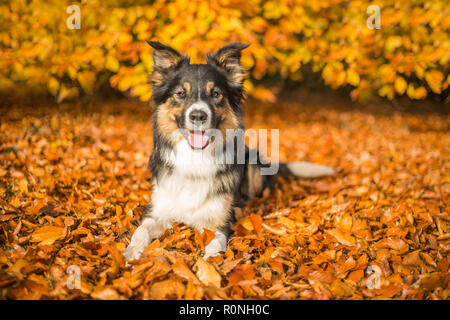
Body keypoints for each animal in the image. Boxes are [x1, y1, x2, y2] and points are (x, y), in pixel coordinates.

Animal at [123, 42, 334, 262]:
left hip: (253, 163)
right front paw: (132, 252)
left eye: (216, 94)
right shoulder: (158, 212)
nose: (198, 115)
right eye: (180, 93)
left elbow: (214, 249)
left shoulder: (217, 223)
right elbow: (141, 230)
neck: (195, 158)